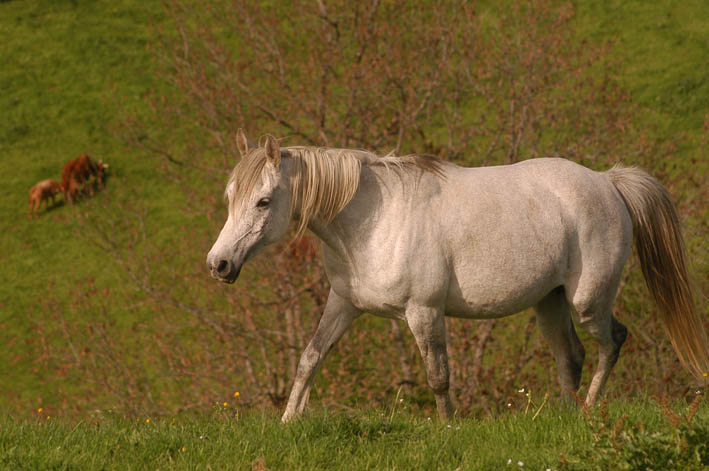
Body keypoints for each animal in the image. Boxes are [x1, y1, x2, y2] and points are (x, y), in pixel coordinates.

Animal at [207, 131, 704, 422]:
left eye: (264, 201)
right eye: (231, 196)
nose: (219, 265)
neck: (374, 221)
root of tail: (608, 181)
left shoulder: (424, 313)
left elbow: (438, 377)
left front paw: (449, 429)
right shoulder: (343, 305)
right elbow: (310, 358)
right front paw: (289, 422)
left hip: (588, 301)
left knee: (612, 341)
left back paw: (588, 412)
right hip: (550, 302)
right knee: (571, 356)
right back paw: (567, 415)